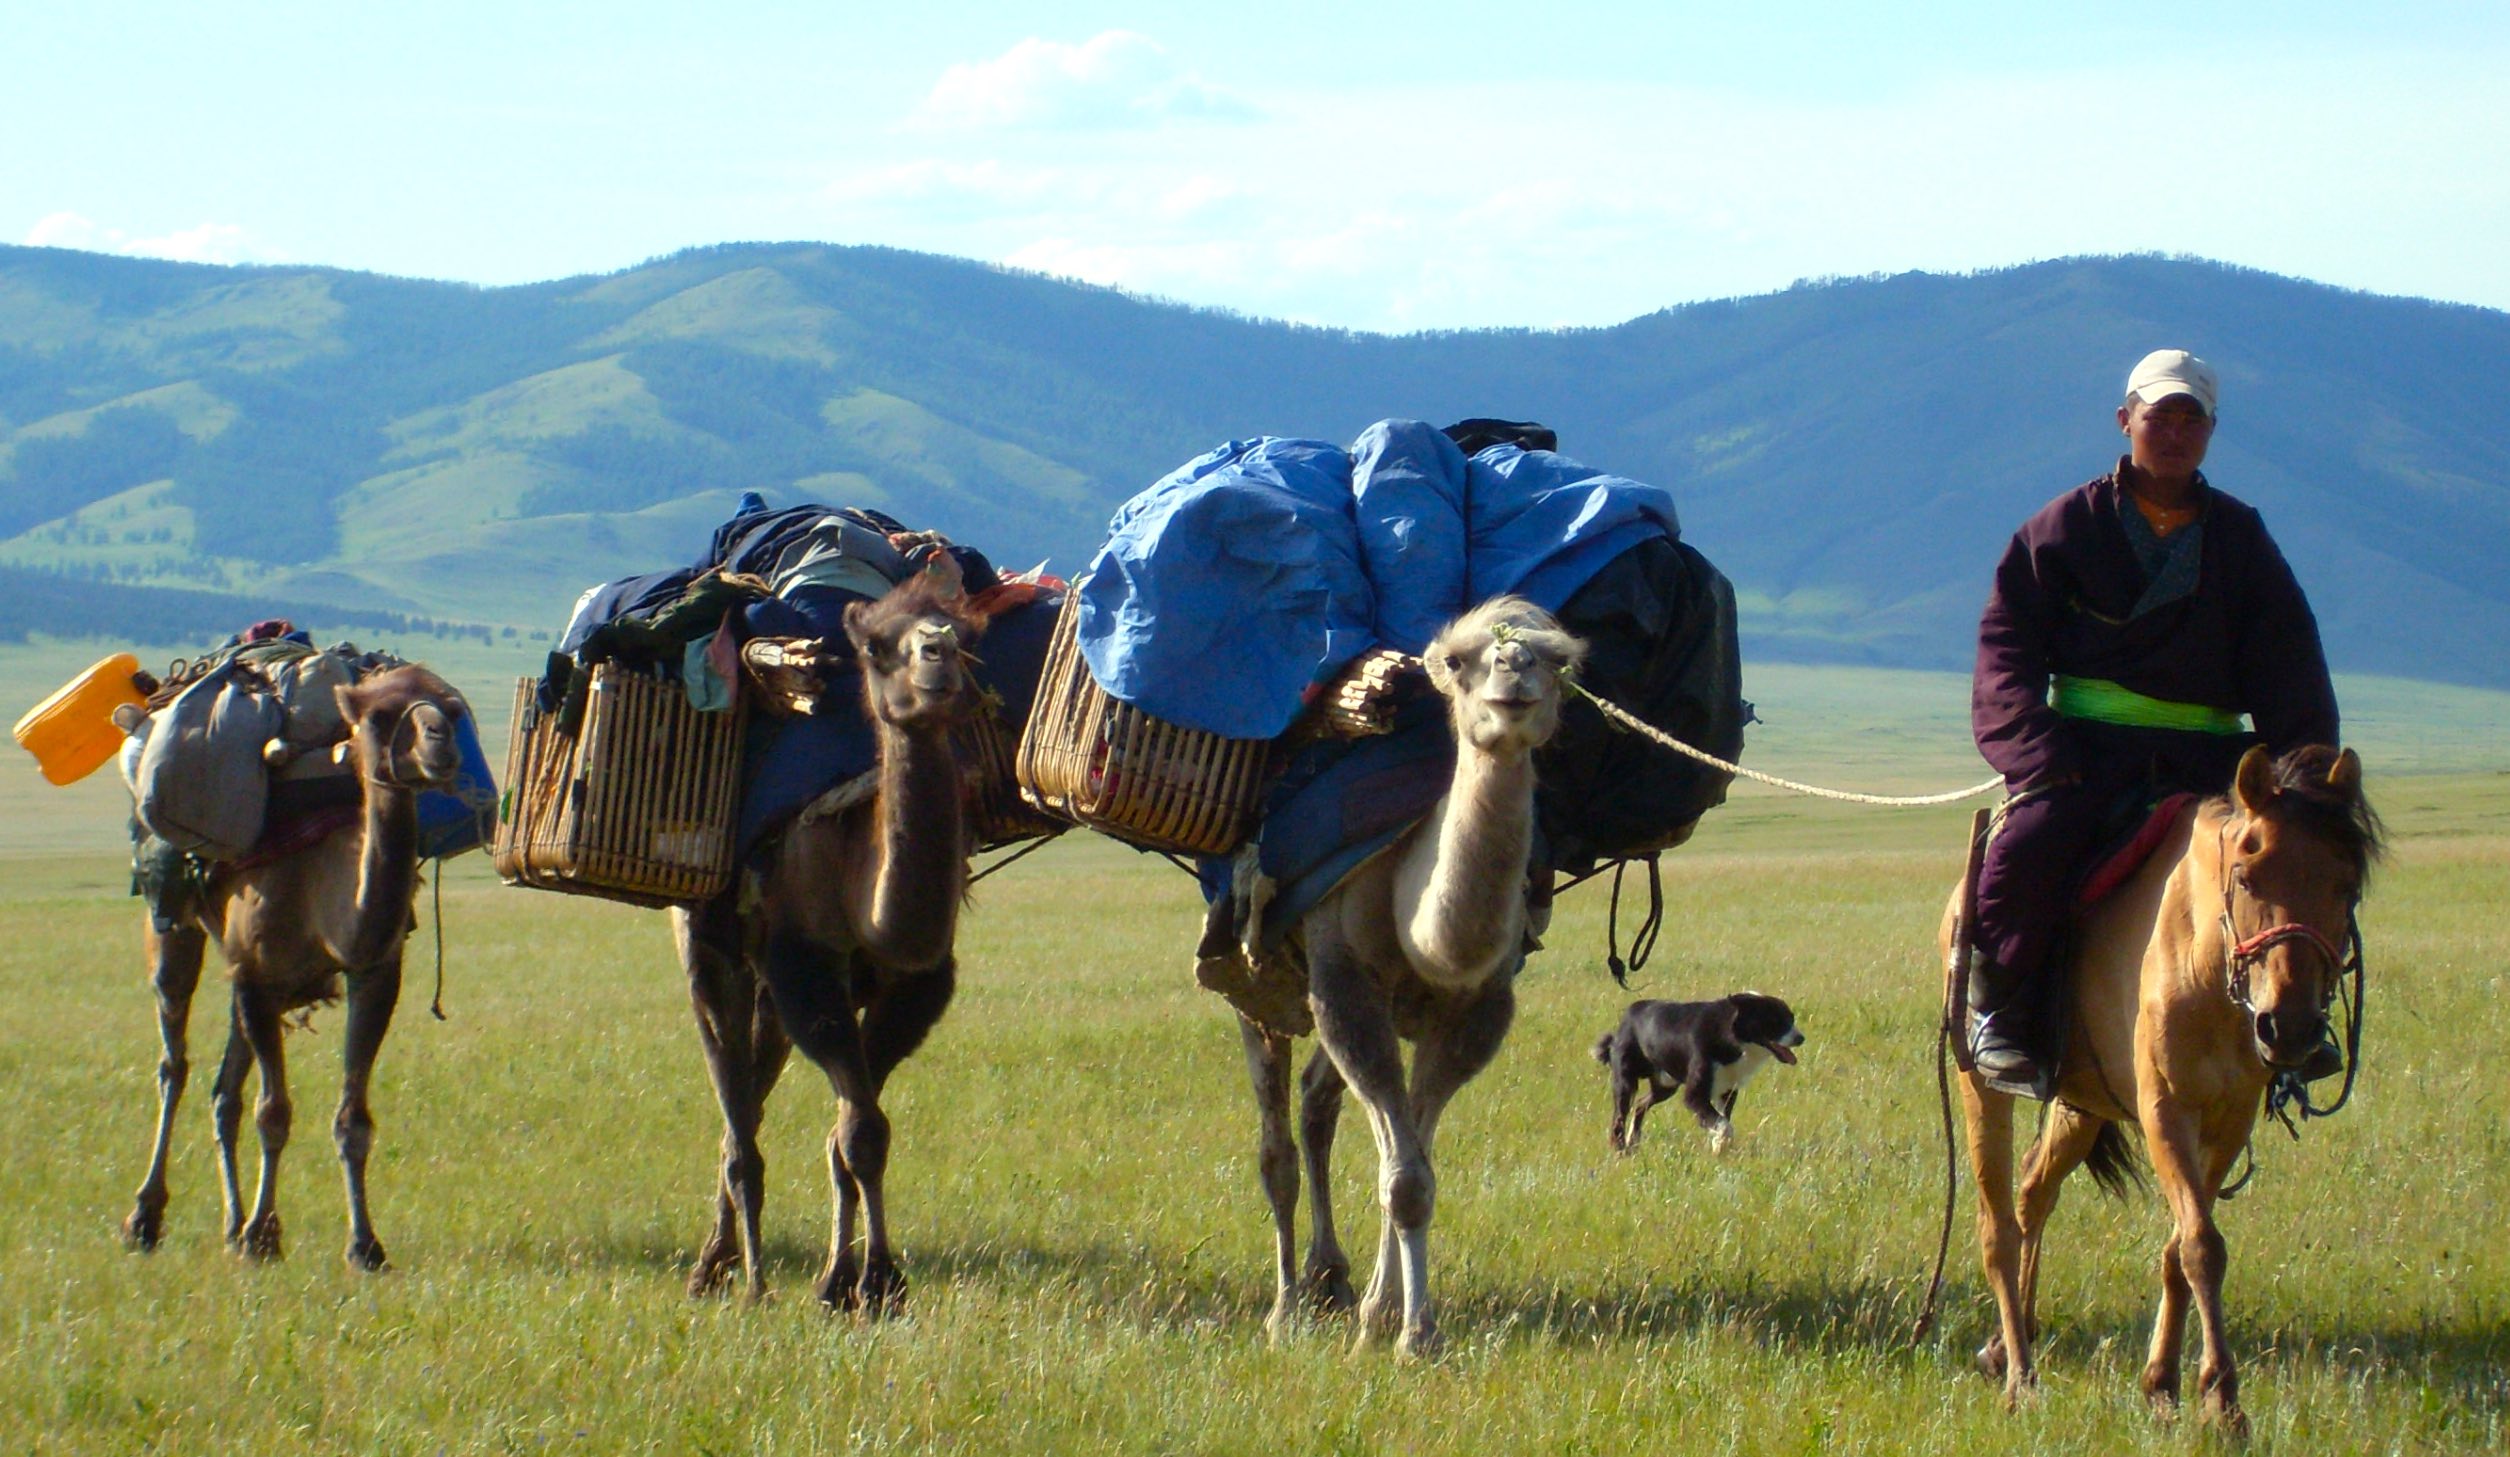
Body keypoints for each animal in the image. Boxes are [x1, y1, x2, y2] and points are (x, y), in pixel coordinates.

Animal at [123, 668, 474, 1271]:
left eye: (451, 709)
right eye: (380, 716)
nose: (441, 743)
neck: (318, 892)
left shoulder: (373, 974)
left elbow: (352, 1120)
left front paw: (365, 1246)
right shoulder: (255, 976)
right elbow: (274, 1112)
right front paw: (264, 1237)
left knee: (224, 1092)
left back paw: (230, 1224)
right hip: (172, 926)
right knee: (175, 1063)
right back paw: (146, 1219)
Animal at [672, 572, 983, 1316]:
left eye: (966, 633)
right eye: (876, 647)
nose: (938, 652)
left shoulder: (917, 985)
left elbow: (853, 1129)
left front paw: (850, 1281)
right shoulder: (804, 962)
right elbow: (862, 1129)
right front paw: (873, 1282)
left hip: (768, 994)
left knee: (751, 1098)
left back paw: (724, 1259)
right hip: (708, 947)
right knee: (735, 1105)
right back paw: (732, 1273)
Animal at [1234, 592, 1586, 1356]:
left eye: (1561, 661)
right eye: (1455, 659)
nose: (1513, 671)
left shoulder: (1478, 1008)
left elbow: (1417, 1167)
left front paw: (1392, 1317)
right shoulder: (1344, 981)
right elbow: (1401, 1176)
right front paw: (1404, 1333)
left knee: (1317, 1102)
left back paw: (1330, 1278)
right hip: (1257, 977)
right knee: (1276, 1143)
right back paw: (1285, 1307)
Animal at [1596, 989, 1797, 1150]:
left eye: (1791, 1018)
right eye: (1775, 1021)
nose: (1800, 1038)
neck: (1730, 1034)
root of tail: (1629, 1013)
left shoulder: (1727, 1091)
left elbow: (1723, 1119)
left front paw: (1719, 1146)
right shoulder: (1695, 1095)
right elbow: (1724, 1125)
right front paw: (1720, 1145)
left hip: (1665, 1085)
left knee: (1640, 1105)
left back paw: (1634, 1142)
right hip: (1625, 1082)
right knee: (1618, 1118)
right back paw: (1620, 1149)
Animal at [1947, 743, 2379, 1426]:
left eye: (2346, 886)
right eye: (2247, 877)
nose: (2289, 1027)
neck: (2205, 961)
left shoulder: (2228, 1118)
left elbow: (2181, 1248)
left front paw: (2164, 1382)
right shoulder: (2165, 1111)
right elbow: (2202, 1244)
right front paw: (2223, 1400)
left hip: (2081, 1101)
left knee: (2034, 1190)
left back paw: (2004, 1344)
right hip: (1981, 1089)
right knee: (1998, 1229)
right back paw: (2020, 1375)